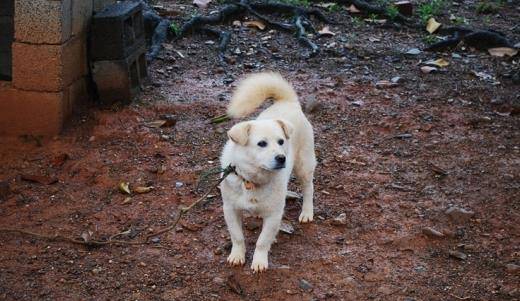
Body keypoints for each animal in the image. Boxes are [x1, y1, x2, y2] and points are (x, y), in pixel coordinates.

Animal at [218, 71, 314, 270]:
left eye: (281, 141)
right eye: (261, 143)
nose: (281, 158)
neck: (252, 180)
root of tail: (288, 101)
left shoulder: (274, 215)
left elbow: (262, 241)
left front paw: (259, 261)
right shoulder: (230, 210)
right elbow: (237, 237)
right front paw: (237, 256)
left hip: (304, 165)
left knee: (309, 188)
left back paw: (307, 212)